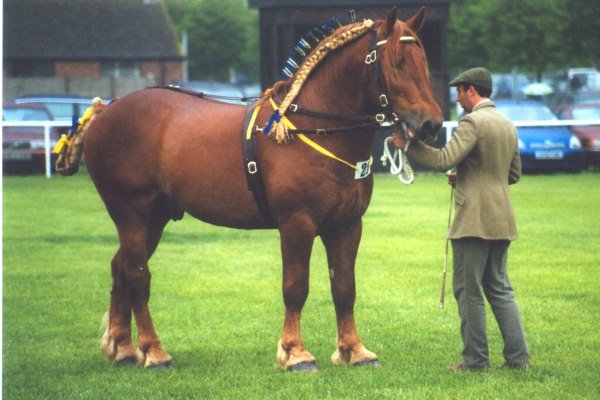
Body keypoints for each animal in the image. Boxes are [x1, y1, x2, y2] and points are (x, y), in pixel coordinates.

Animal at [81, 7, 440, 372]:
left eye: (423, 62)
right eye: (397, 63)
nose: (432, 124)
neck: (313, 128)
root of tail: (105, 111)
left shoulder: (347, 225)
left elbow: (344, 287)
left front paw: (354, 350)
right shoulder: (297, 224)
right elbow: (295, 287)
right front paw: (295, 353)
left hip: (154, 218)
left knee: (121, 269)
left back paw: (123, 348)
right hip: (132, 214)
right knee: (137, 276)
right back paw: (153, 352)